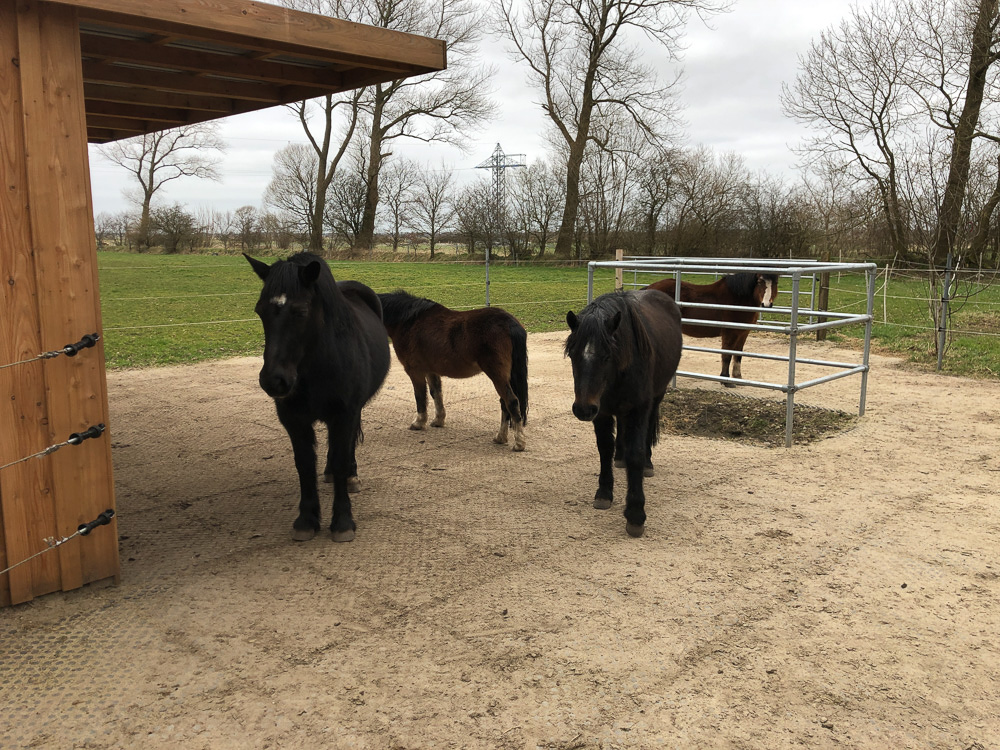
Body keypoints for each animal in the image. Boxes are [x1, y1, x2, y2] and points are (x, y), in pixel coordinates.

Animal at [246, 256, 390, 544]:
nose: (274, 381)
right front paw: (306, 520)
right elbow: (304, 464)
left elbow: (342, 459)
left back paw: (350, 477)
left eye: (300, 311)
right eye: (260, 311)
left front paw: (343, 522)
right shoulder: (295, 421)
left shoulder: (344, 414)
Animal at [376, 290, 532, 452]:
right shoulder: (431, 370)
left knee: (511, 402)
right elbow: (436, 393)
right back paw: (500, 437)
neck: (409, 321)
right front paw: (438, 420)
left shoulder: (415, 371)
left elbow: (420, 396)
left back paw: (518, 443)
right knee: (504, 403)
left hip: (497, 376)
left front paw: (419, 422)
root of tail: (509, 323)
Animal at [568, 290, 684, 540]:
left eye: (607, 356)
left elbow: (636, 453)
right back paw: (619, 458)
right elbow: (604, 449)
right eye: (572, 355)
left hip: (655, 397)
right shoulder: (601, 411)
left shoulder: (638, 408)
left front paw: (635, 513)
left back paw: (648, 464)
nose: (583, 409)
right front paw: (604, 493)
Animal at [644, 272, 776, 388]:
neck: (739, 299)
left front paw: (738, 378)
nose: (766, 304)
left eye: (775, 282)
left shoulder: (743, 333)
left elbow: (738, 355)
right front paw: (726, 380)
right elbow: (727, 355)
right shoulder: (730, 332)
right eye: (759, 281)